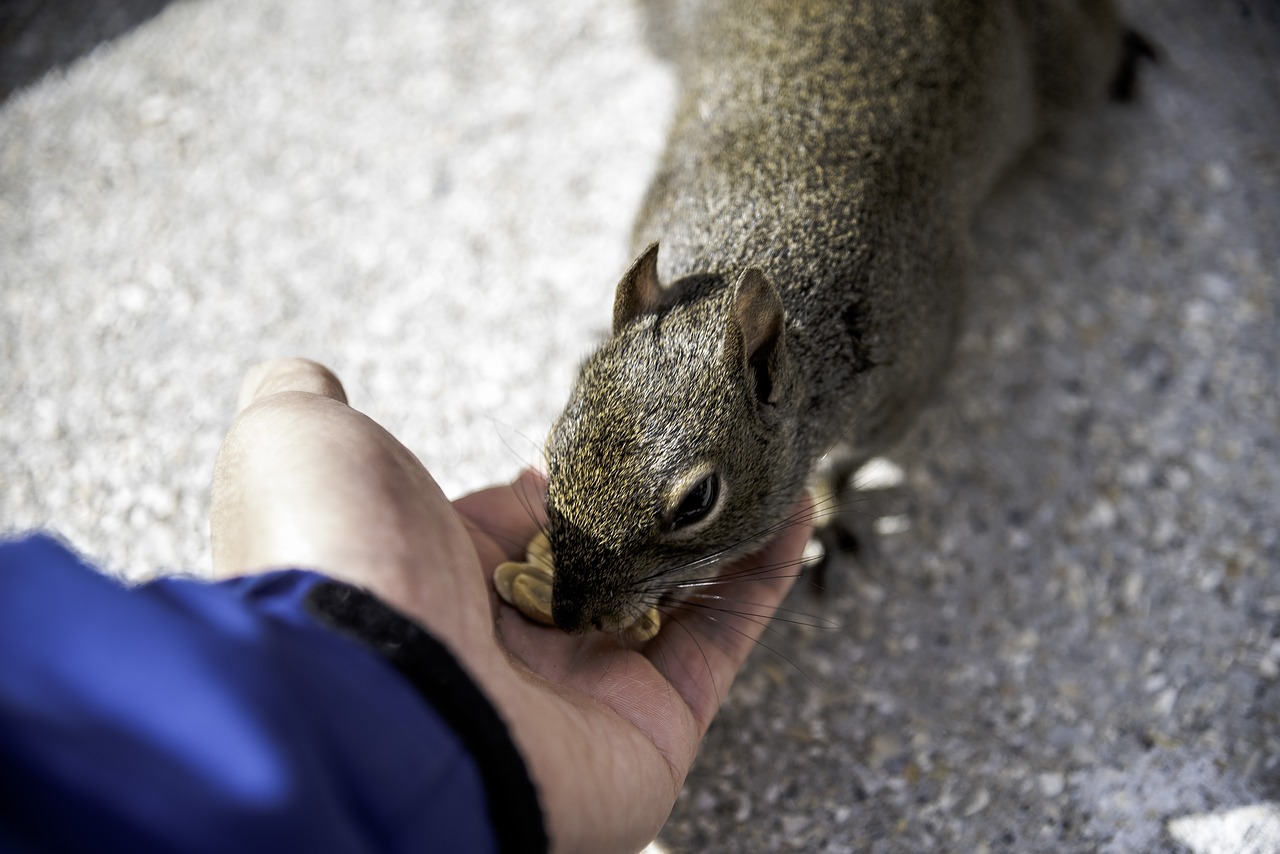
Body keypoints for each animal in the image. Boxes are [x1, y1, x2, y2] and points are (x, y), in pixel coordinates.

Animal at [535, 0, 1136, 635]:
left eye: (698, 501)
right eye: (554, 447)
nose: (569, 616)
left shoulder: (904, 386)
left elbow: (850, 465)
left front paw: (824, 513)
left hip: (1069, 64)